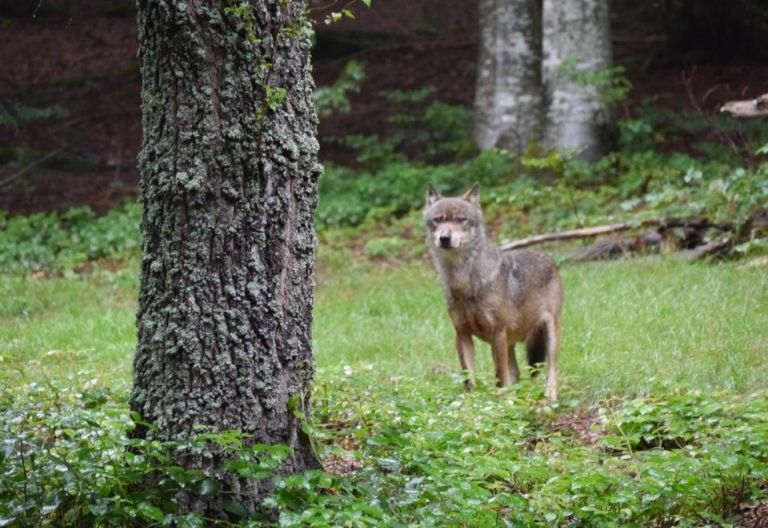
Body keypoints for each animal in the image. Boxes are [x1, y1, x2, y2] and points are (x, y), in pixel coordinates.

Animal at [424, 183, 564, 400]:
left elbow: (500, 376)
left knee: (551, 371)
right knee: (516, 373)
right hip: (508, 343)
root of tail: (547, 258)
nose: (444, 238)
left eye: (461, 219)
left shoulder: (498, 332)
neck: (465, 281)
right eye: (438, 220)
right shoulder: (462, 333)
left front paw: (502, 403)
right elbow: (469, 377)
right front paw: (472, 403)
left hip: (549, 334)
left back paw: (550, 397)